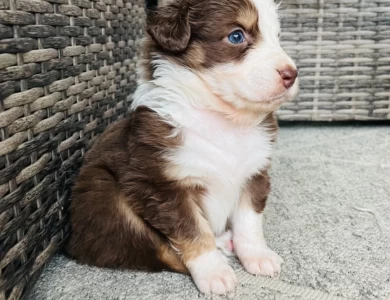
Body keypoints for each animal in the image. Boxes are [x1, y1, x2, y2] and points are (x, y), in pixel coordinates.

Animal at [66, 0, 298, 296]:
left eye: (277, 37)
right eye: (236, 35)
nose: (292, 74)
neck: (224, 121)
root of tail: (73, 245)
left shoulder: (254, 172)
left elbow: (249, 221)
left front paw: (258, 256)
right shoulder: (162, 186)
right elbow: (192, 232)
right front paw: (215, 274)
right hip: (107, 196)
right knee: (158, 253)